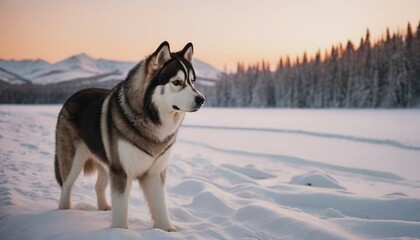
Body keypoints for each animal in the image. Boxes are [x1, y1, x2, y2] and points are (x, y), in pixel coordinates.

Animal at [54, 42, 205, 232]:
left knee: (98, 186)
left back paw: (103, 207)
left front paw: (168, 230)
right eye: (176, 82)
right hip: (75, 161)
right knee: (66, 185)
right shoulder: (121, 171)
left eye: (192, 81)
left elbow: (161, 207)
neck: (152, 121)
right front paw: (119, 232)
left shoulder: (154, 173)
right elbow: (121, 209)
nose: (202, 99)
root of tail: (73, 95)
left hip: (106, 163)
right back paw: (63, 213)